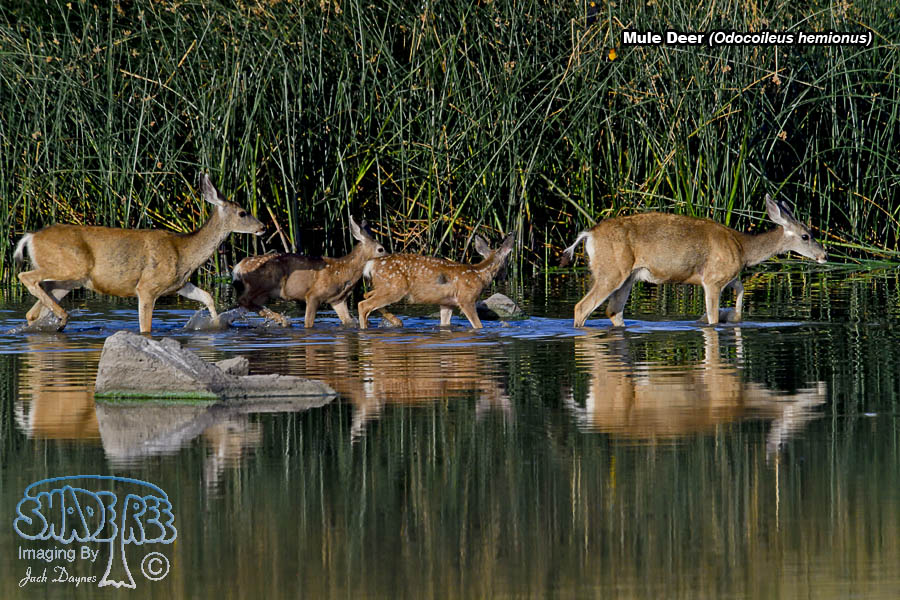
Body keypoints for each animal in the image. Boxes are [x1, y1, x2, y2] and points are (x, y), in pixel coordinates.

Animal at [14, 173, 265, 333]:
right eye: (243, 213)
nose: (263, 227)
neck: (184, 251)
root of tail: (31, 237)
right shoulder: (147, 286)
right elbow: (146, 327)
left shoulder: (178, 284)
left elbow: (207, 296)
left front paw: (215, 325)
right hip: (68, 267)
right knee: (25, 277)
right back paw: (63, 317)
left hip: (68, 281)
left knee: (34, 311)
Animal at [231, 216, 386, 328]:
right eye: (381, 249)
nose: (388, 258)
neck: (343, 271)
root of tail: (239, 265)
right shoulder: (314, 294)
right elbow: (308, 323)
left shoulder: (337, 300)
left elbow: (348, 321)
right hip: (260, 284)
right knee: (243, 300)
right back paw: (283, 320)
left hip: (263, 293)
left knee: (245, 304)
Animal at [357, 233, 515, 329]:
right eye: (507, 262)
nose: (504, 276)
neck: (479, 274)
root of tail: (371, 264)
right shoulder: (466, 298)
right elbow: (478, 325)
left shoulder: (447, 303)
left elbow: (445, 323)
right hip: (394, 288)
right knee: (363, 304)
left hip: (384, 287)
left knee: (365, 296)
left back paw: (395, 321)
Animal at [561, 194, 827, 327]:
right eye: (806, 236)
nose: (824, 255)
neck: (743, 248)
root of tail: (589, 234)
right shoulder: (713, 279)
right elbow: (713, 318)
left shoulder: (728, 276)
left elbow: (740, 292)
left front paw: (732, 316)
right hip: (611, 271)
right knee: (581, 307)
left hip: (627, 277)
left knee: (613, 311)